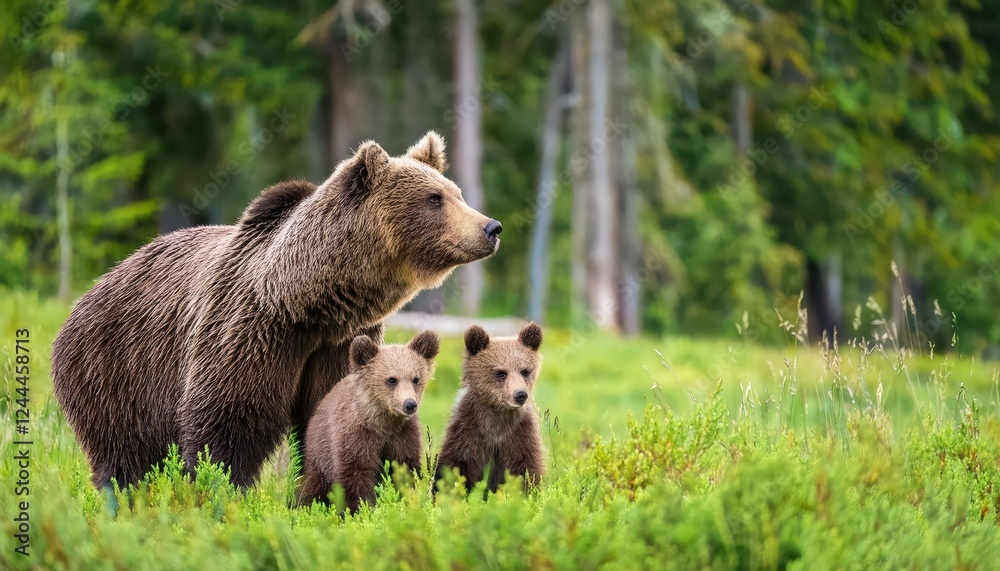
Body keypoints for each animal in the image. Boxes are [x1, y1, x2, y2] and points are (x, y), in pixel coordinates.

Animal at [51, 131, 502, 490]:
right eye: (434, 198)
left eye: (457, 193)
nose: (491, 227)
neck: (306, 302)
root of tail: (91, 291)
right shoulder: (250, 333)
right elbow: (228, 421)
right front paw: (224, 490)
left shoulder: (339, 345)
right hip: (116, 371)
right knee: (124, 455)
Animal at [298, 331, 439, 510]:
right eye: (392, 380)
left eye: (416, 379)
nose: (410, 405)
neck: (383, 422)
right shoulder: (356, 435)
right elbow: (357, 473)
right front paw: (363, 507)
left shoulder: (402, 435)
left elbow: (405, 468)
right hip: (320, 452)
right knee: (313, 485)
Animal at [434, 322, 545, 493]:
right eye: (501, 373)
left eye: (525, 371)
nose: (520, 394)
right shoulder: (469, 430)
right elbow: (457, 464)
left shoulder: (519, 433)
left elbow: (526, 468)